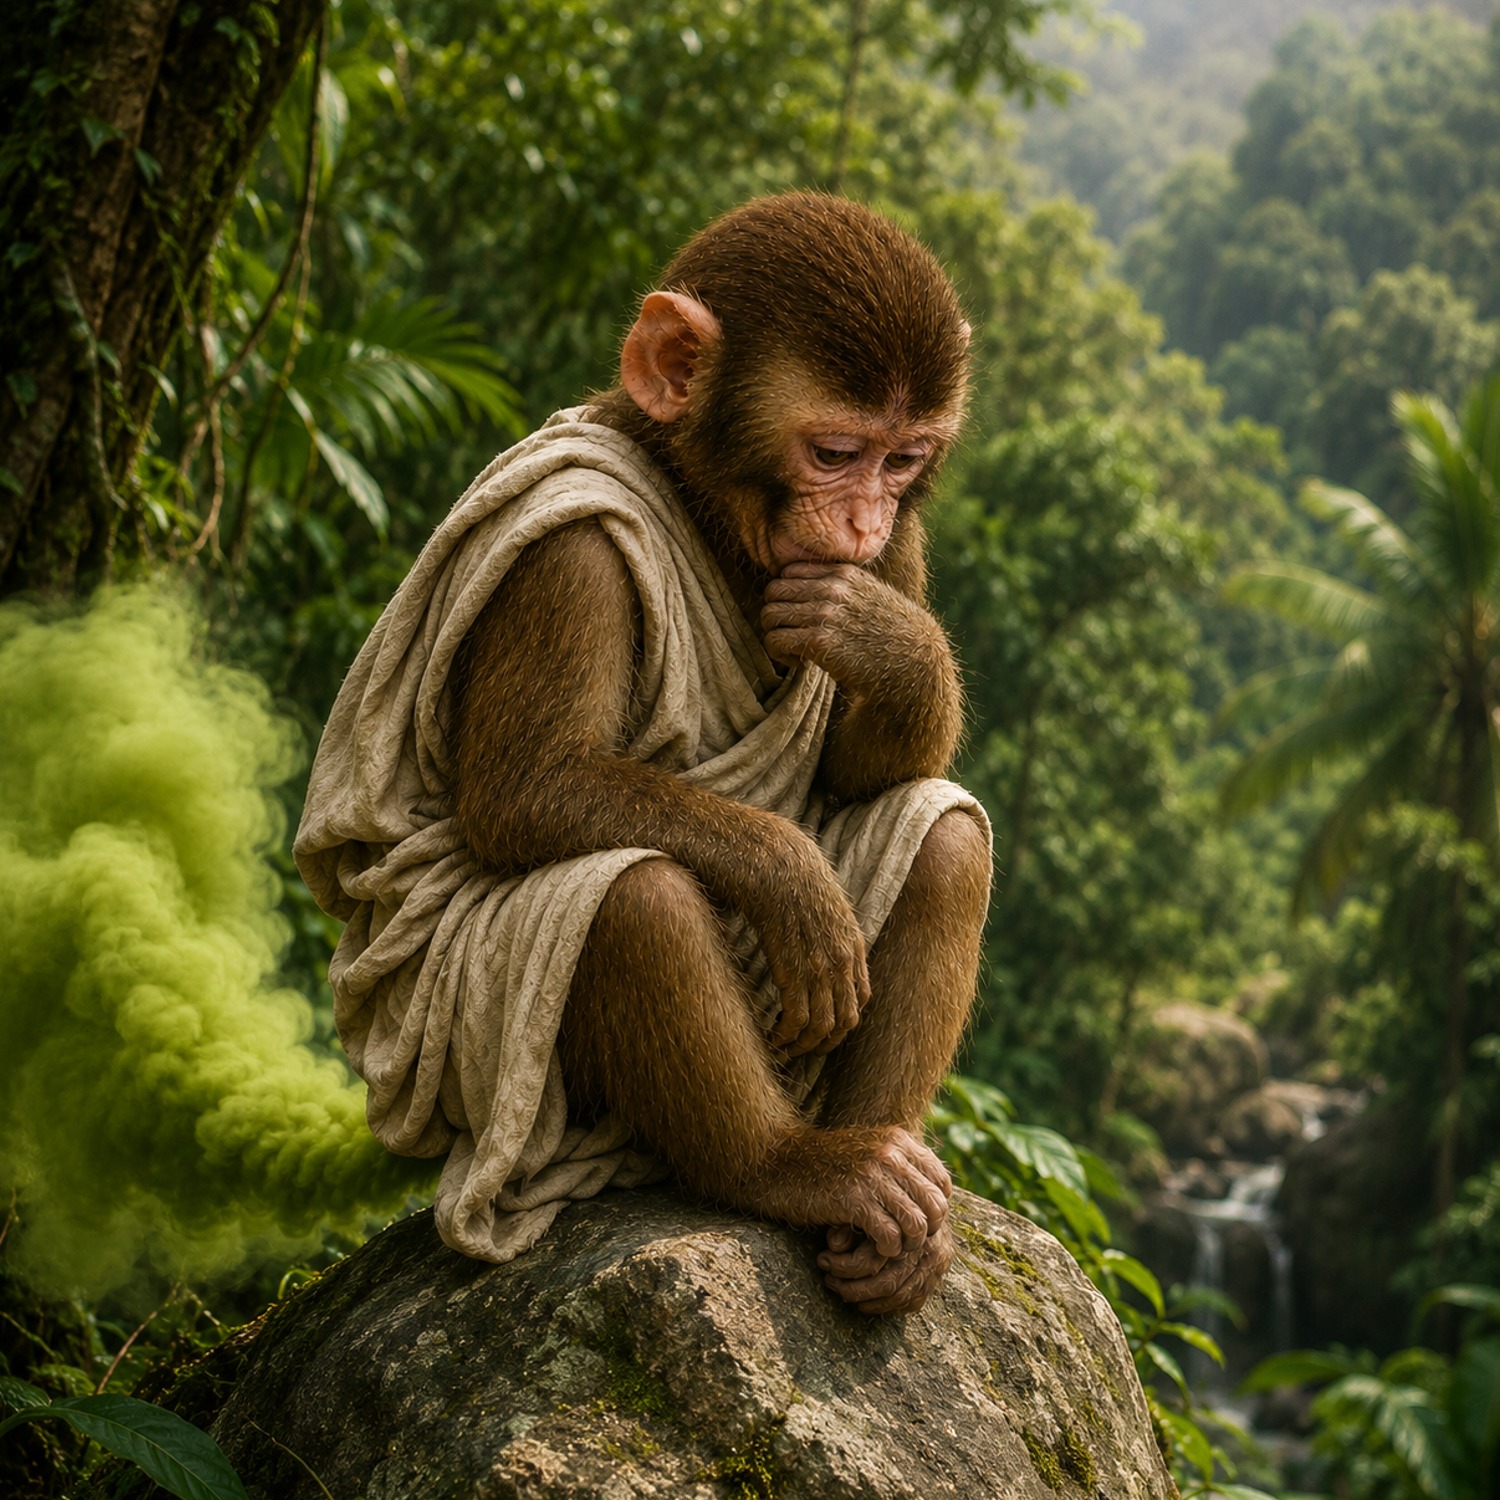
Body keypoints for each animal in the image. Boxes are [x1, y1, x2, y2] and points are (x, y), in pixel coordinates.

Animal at [444, 193, 991, 1315]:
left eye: (902, 461)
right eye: (835, 453)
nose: (865, 518)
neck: (694, 497)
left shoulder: (894, 550)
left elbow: (861, 774)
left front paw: (890, 643)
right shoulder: (568, 552)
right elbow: (524, 786)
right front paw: (789, 875)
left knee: (942, 827)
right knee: (628, 896)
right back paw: (783, 1167)